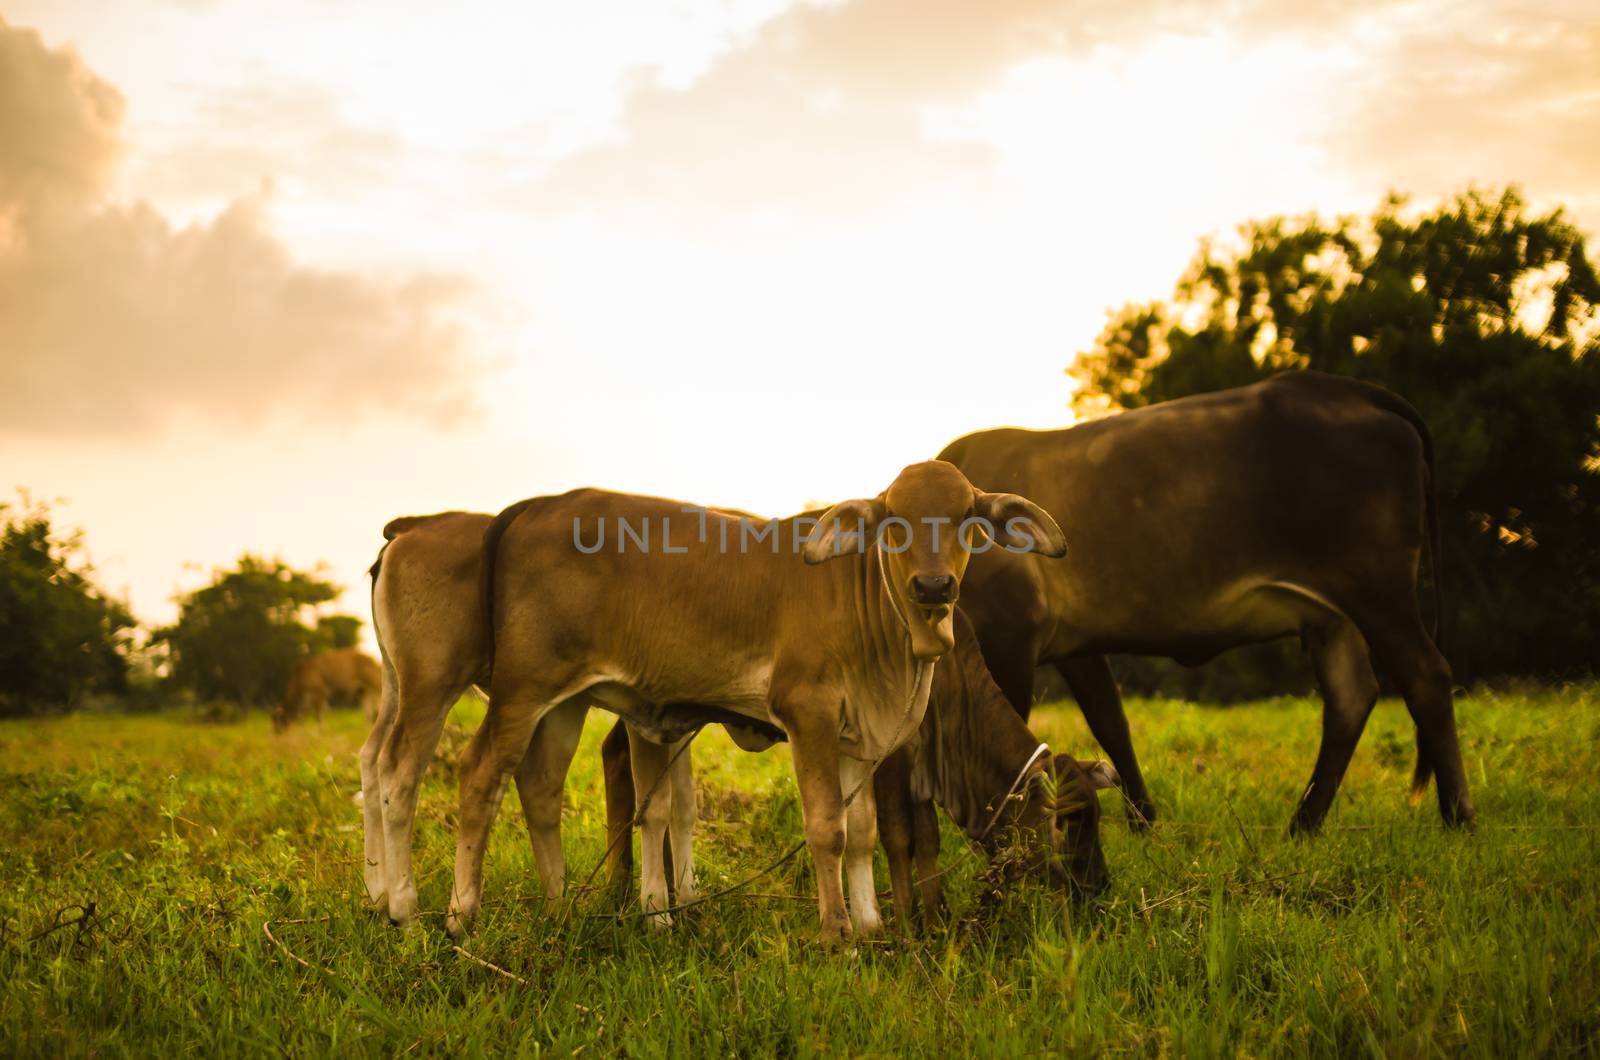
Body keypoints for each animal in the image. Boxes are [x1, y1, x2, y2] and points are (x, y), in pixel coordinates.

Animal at [363, 512, 694, 928]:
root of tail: (410, 527)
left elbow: (683, 801)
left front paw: (687, 899)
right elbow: (658, 800)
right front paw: (663, 908)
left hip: (396, 684)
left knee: (371, 758)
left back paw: (376, 895)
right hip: (432, 685)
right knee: (400, 771)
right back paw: (406, 912)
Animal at [457, 461, 1068, 941]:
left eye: (968, 517)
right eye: (894, 521)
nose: (934, 587)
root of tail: (540, 504)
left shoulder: (860, 740)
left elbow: (864, 832)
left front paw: (872, 926)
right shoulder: (810, 716)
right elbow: (829, 829)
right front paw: (838, 935)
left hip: (564, 703)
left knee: (539, 787)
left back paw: (559, 910)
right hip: (522, 689)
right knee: (481, 775)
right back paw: (461, 919)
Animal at [934, 373, 1472, 839]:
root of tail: (1346, 388)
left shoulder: (1009, 632)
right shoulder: (1074, 644)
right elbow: (1111, 722)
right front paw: (1144, 823)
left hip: (1377, 590)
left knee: (1425, 678)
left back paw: (1457, 819)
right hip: (1331, 615)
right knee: (1351, 698)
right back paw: (1303, 825)